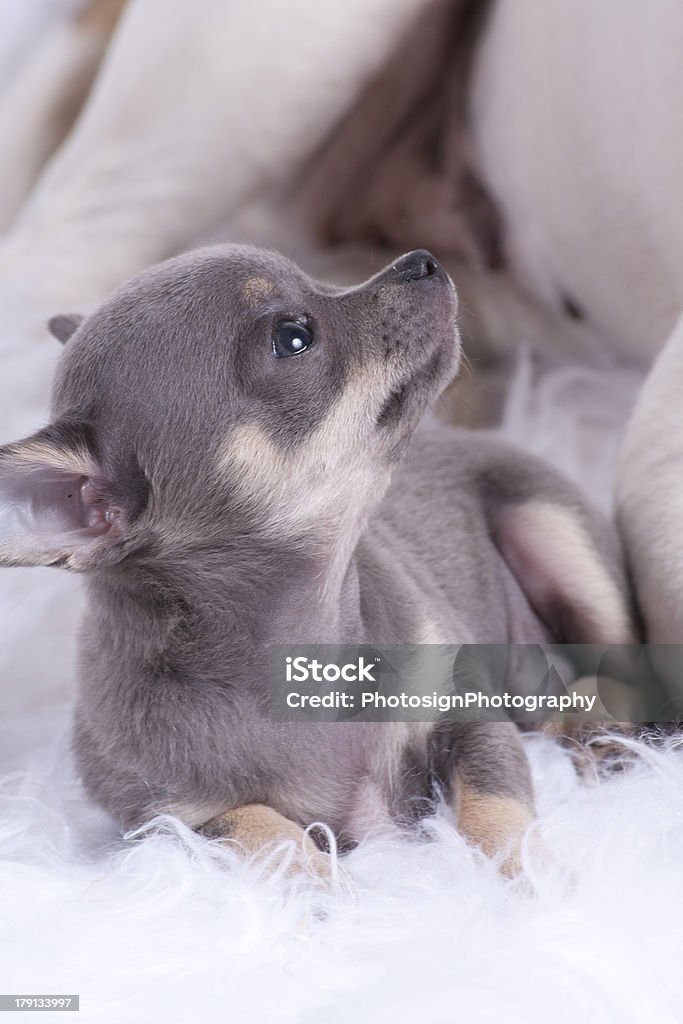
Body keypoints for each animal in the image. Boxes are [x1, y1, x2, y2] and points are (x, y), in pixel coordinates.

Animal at [0, 245, 634, 872]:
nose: (422, 260)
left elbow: (496, 808)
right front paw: (325, 885)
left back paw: (596, 728)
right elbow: (266, 831)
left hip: (553, 527)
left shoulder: (469, 713)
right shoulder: (171, 818)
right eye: (293, 337)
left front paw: (524, 882)